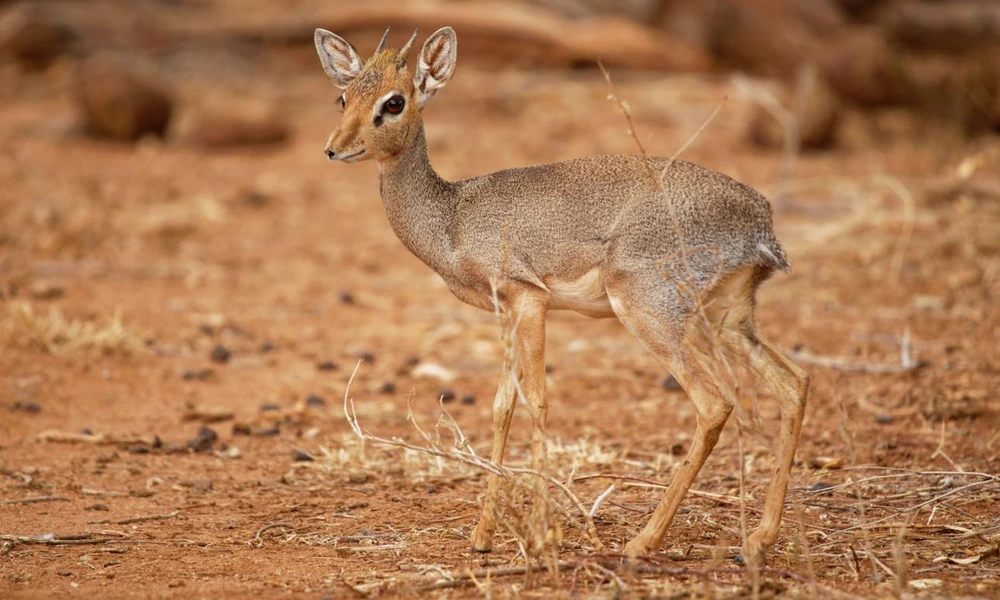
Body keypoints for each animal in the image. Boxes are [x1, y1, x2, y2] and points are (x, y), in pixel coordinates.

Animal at [314, 26, 809, 566]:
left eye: (394, 101)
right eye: (343, 97)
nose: (335, 149)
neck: (452, 217)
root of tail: (760, 218)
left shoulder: (529, 300)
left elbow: (538, 401)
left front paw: (539, 533)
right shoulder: (507, 312)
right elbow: (501, 407)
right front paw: (483, 535)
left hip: (648, 312)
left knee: (716, 402)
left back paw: (643, 541)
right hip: (728, 319)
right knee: (795, 383)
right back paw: (758, 539)